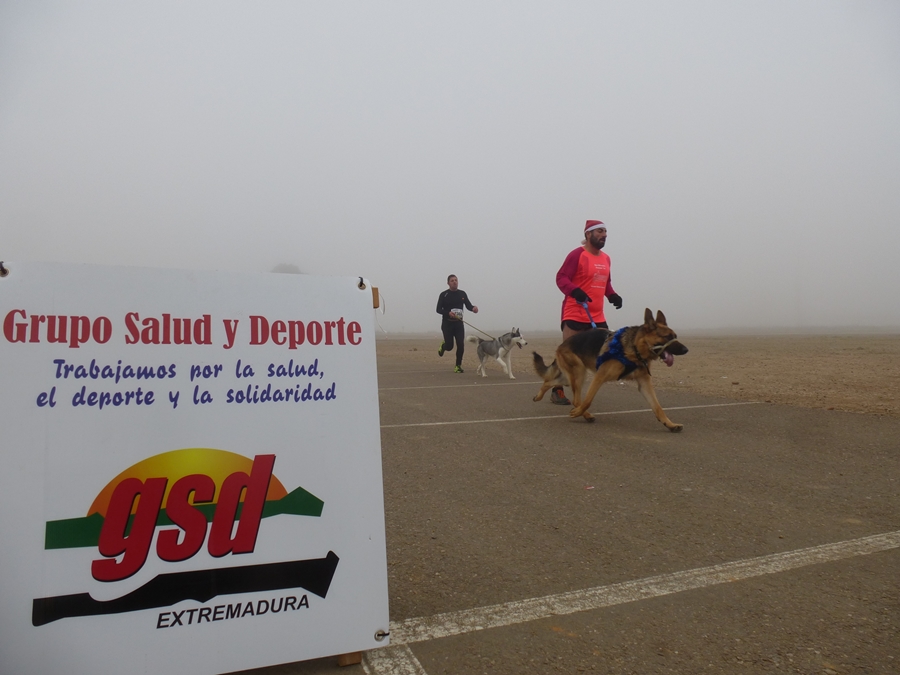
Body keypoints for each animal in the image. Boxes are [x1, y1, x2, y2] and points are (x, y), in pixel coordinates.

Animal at [532, 312, 684, 434]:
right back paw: (585, 414)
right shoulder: (600, 376)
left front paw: (670, 424)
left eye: (675, 336)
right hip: (578, 373)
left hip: (571, 376)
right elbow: (588, 400)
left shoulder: (644, 383)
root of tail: (561, 345)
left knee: (548, 382)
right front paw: (577, 413)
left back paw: (538, 396)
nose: (686, 349)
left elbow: (657, 407)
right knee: (576, 400)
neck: (634, 349)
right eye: (667, 337)